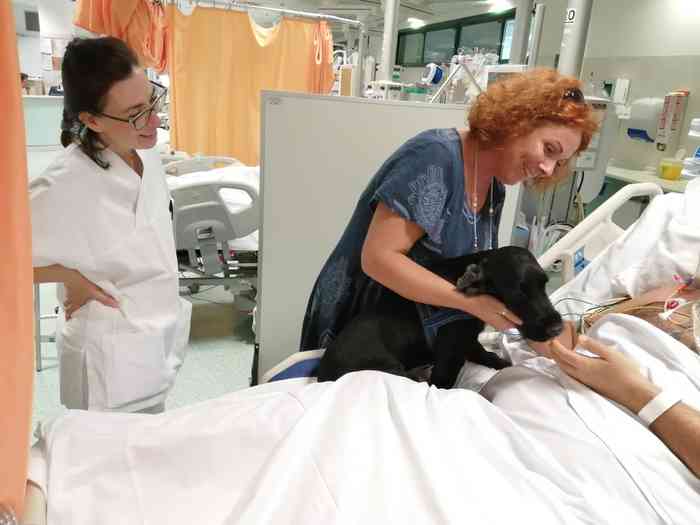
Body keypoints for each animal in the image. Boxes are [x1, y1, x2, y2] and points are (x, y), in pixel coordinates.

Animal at [318, 244, 564, 386]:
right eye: (518, 292)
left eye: (545, 284)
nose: (557, 329)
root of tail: (321, 374)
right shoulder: (450, 353)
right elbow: (442, 382)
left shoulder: (466, 338)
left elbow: (483, 352)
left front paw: (500, 362)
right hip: (383, 364)